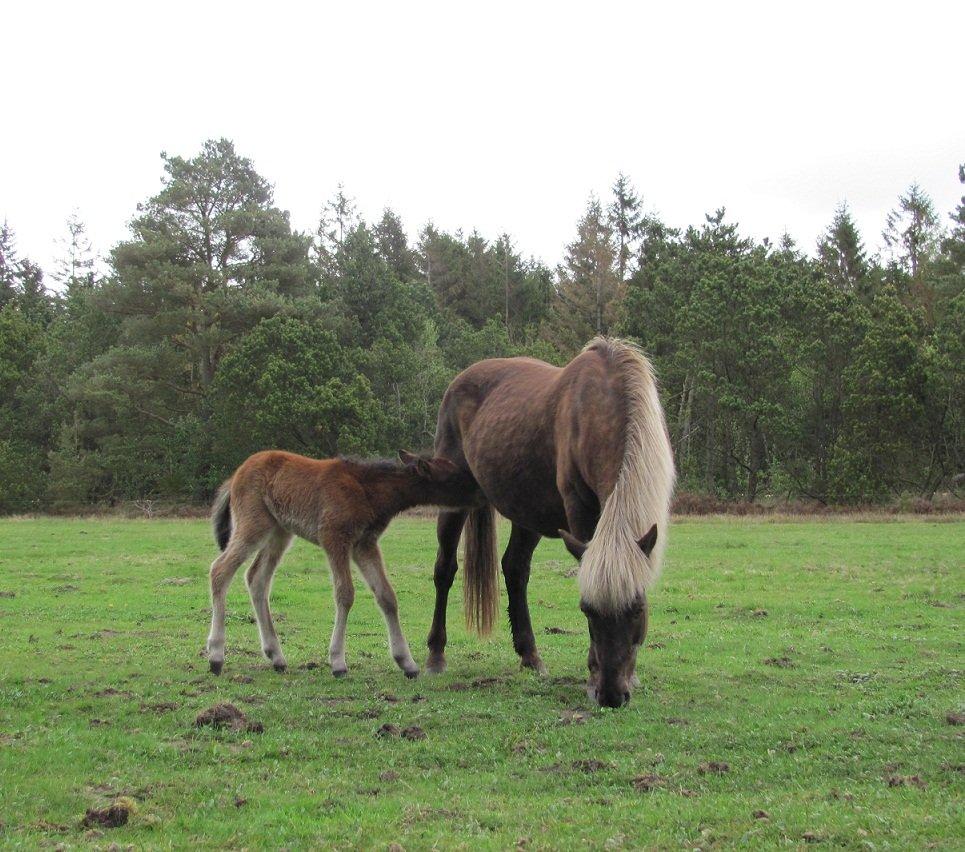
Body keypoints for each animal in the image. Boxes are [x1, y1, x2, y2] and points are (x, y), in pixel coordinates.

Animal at [204, 450, 474, 676]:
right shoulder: (334, 537)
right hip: (254, 524)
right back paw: (216, 657)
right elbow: (345, 593)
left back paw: (276, 657)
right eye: (452, 476)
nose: (478, 491)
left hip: (279, 531)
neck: (369, 489)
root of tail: (235, 476)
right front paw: (338, 662)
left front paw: (406, 662)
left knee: (257, 578)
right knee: (220, 570)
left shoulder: (364, 544)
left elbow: (386, 595)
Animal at [426, 336, 676, 708]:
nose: (611, 695)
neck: (605, 406)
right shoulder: (579, 510)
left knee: (515, 569)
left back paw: (530, 657)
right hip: (453, 500)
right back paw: (435, 655)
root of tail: (459, 381)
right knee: (445, 570)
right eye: (586, 610)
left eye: (636, 609)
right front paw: (591, 676)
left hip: (527, 511)